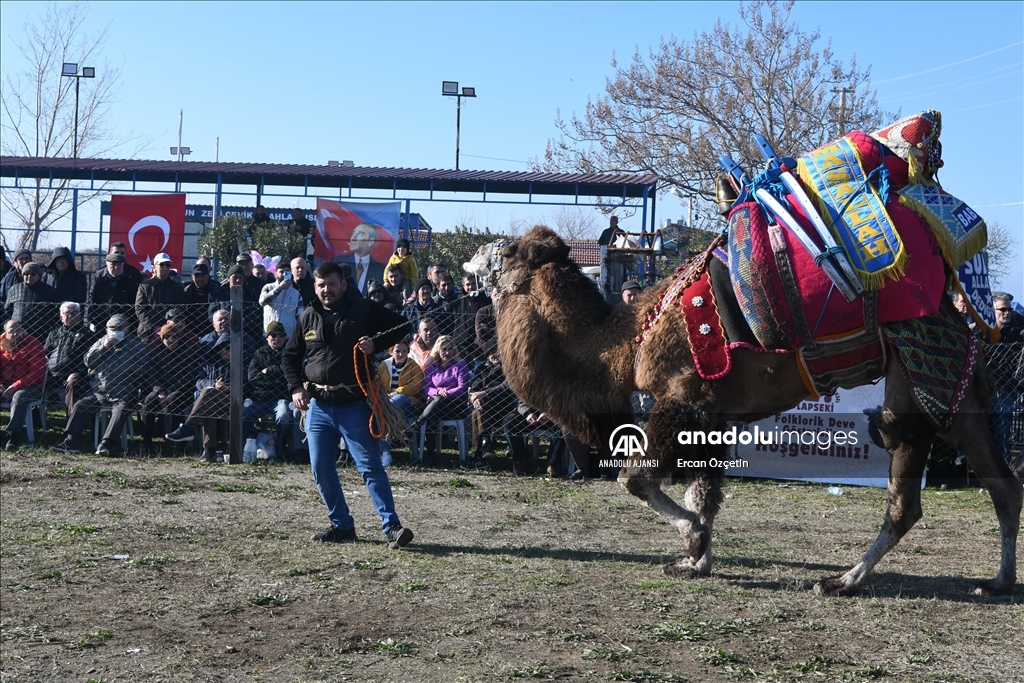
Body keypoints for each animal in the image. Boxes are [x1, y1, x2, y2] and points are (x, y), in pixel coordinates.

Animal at [483, 227, 1019, 593]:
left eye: (504, 254)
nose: (475, 258)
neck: (628, 343)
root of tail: (964, 317)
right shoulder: (713, 413)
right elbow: (705, 492)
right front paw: (695, 561)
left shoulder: (683, 397)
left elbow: (635, 479)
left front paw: (693, 540)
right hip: (960, 395)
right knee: (1003, 485)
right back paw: (997, 583)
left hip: (915, 384)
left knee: (906, 494)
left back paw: (842, 581)